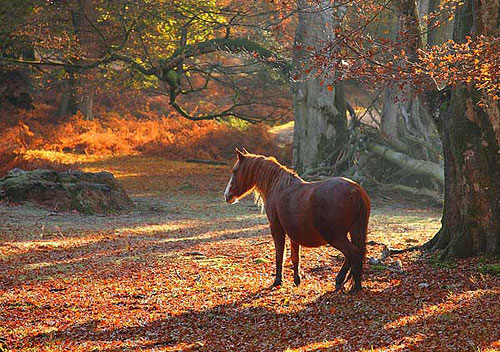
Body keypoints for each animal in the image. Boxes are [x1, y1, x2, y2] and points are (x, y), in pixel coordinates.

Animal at [225, 148, 370, 292]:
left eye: (235, 171)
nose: (227, 195)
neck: (277, 187)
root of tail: (355, 191)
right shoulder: (293, 234)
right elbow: (295, 257)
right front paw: (296, 280)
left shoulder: (277, 228)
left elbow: (280, 255)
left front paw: (278, 281)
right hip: (352, 231)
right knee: (357, 253)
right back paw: (354, 285)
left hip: (334, 237)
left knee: (352, 253)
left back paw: (341, 281)